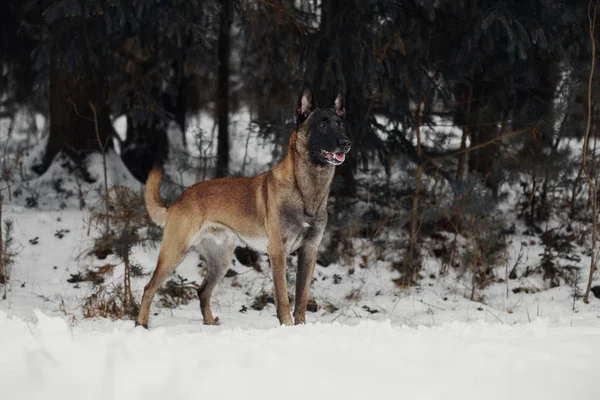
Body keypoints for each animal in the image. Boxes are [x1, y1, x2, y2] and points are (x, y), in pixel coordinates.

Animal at [136, 85, 352, 328]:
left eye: (340, 123)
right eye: (322, 125)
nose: (346, 143)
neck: (306, 191)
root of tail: (178, 200)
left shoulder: (309, 251)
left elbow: (302, 297)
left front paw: (301, 327)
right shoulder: (278, 252)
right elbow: (283, 297)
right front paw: (287, 326)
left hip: (221, 260)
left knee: (202, 291)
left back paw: (210, 323)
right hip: (175, 253)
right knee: (149, 287)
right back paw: (141, 324)